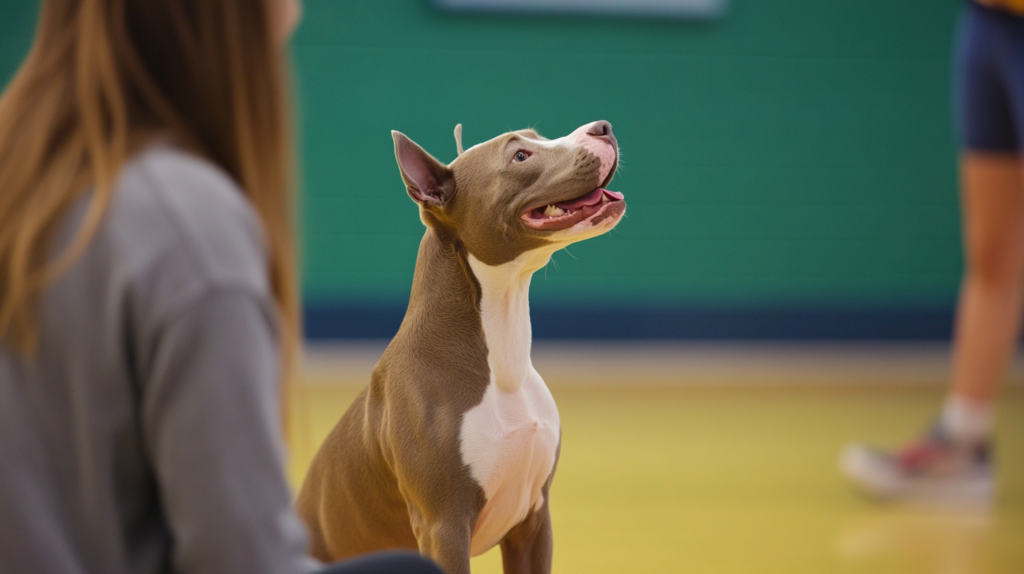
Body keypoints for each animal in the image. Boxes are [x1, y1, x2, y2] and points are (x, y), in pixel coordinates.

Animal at [299, 120, 622, 572]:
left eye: (537, 136)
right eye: (519, 156)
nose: (602, 127)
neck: (499, 354)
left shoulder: (534, 523)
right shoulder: (444, 527)